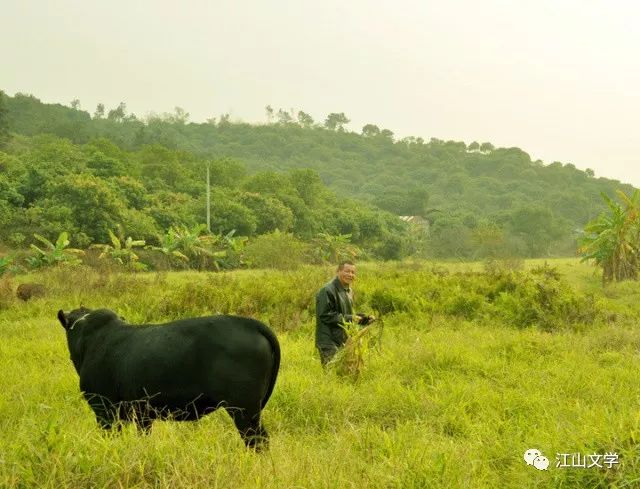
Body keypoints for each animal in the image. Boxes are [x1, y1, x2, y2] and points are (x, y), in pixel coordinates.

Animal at [57, 306, 280, 448]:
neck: (91, 340)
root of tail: (249, 323)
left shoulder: (104, 409)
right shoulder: (142, 413)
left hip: (243, 410)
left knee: (257, 440)